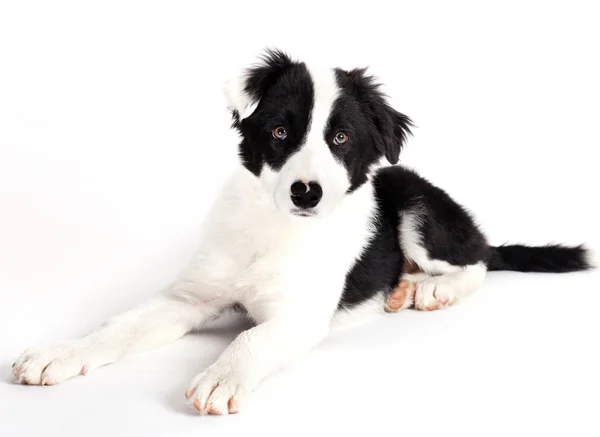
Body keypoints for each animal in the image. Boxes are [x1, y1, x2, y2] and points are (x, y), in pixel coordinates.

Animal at [14, 49, 596, 414]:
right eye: (279, 132)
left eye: (340, 138)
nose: (306, 193)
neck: (273, 228)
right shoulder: (189, 297)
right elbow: (118, 328)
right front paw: (60, 354)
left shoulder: (299, 316)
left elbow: (249, 336)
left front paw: (222, 377)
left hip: (414, 204)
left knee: (478, 257)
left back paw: (429, 288)